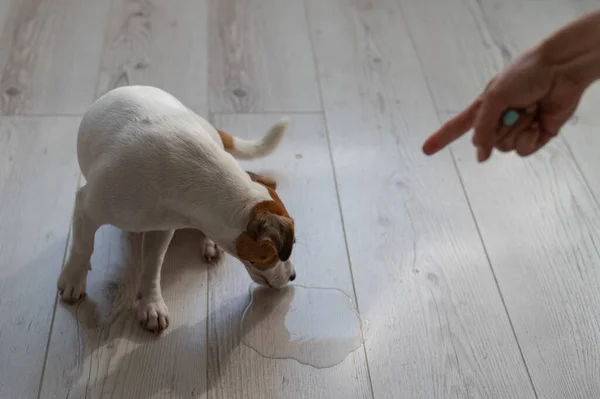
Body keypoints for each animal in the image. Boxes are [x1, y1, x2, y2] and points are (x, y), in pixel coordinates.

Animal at [57, 86, 296, 334]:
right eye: (287, 247)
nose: (293, 276)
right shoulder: (87, 207)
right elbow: (83, 247)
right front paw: (74, 279)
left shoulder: (161, 229)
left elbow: (152, 266)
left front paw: (150, 304)